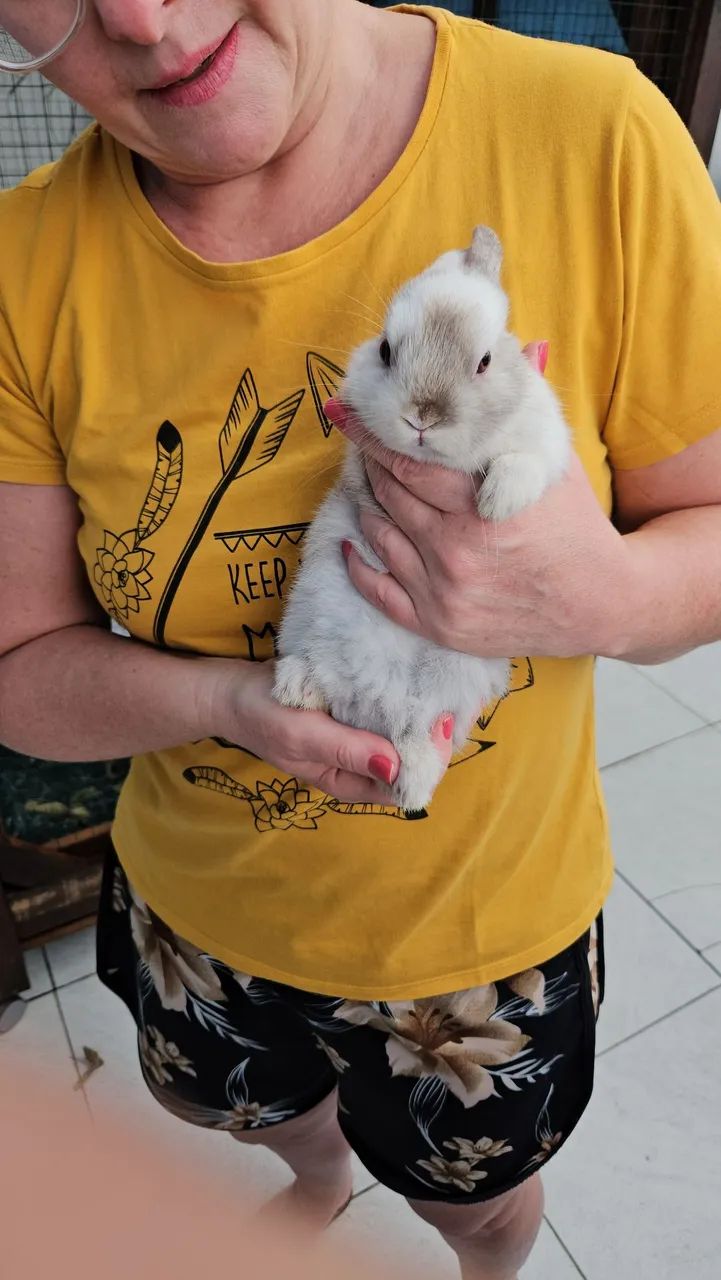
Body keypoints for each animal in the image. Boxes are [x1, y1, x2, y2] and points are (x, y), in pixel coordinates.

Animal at [273, 226, 572, 812]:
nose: (422, 418)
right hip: (311, 617)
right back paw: (295, 689)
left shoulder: (545, 443)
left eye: (484, 362)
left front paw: (494, 503)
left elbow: (521, 463)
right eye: (386, 350)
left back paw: (409, 783)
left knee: (423, 741)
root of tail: (374, 699)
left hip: (449, 689)